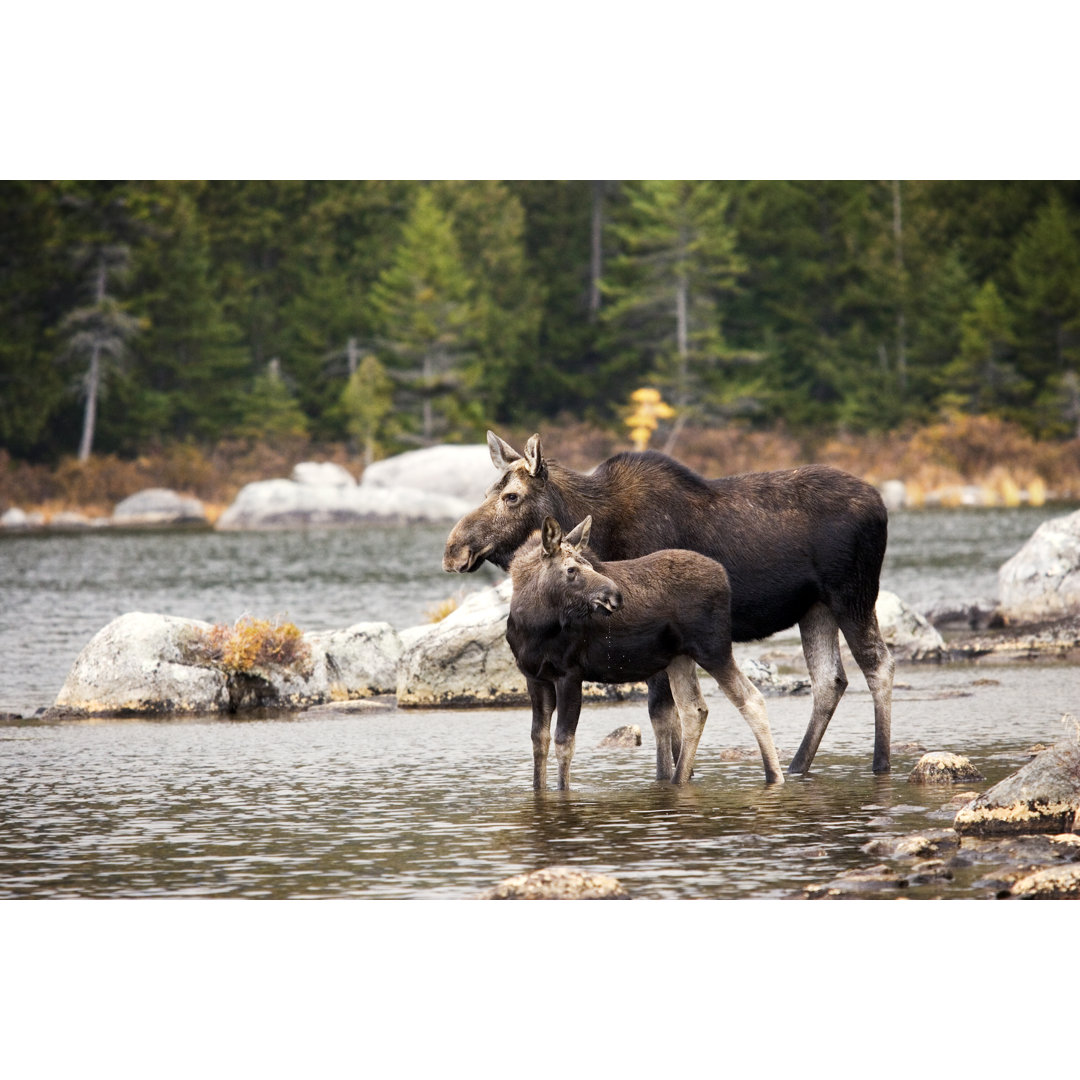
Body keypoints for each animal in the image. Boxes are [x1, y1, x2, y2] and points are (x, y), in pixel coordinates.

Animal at [505, 509, 786, 790]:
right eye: (571, 569)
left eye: (591, 565)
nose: (616, 596)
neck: (532, 625)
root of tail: (724, 577)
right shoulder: (535, 677)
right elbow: (539, 741)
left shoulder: (570, 673)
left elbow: (564, 742)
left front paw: (563, 791)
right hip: (680, 658)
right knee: (694, 710)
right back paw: (678, 779)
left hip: (713, 648)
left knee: (751, 699)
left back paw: (774, 777)